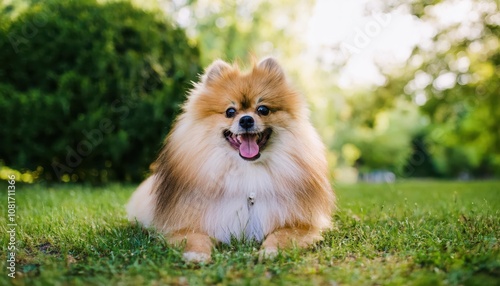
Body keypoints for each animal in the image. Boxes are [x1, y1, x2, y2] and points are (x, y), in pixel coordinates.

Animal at [127, 57, 334, 262]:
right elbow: (195, 236)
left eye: (263, 109)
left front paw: (270, 251)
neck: (247, 169)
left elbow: (282, 235)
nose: (246, 120)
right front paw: (197, 254)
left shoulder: (301, 224)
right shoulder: (184, 224)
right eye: (230, 112)